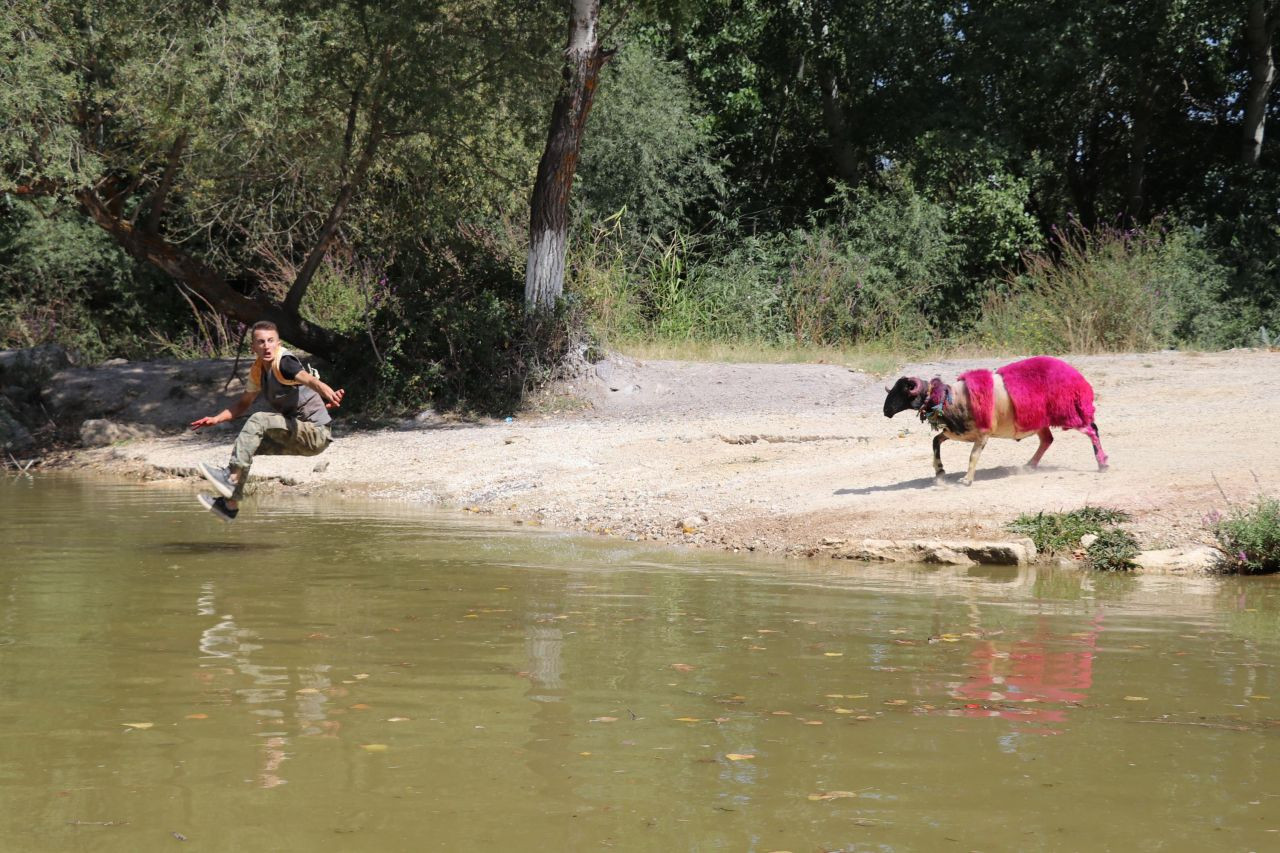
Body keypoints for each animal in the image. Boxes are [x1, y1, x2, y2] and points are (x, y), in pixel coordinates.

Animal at [885, 353, 1105, 484]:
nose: (885, 411)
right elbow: (935, 441)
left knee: (1091, 429)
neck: (950, 399)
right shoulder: (958, 432)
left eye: (901, 391)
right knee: (1047, 440)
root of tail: (1076, 375)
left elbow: (973, 455)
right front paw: (939, 471)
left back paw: (1103, 464)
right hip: (1039, 420)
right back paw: (1029, 466)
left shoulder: (983, 434)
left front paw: (966, 480)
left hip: (1068, 412)